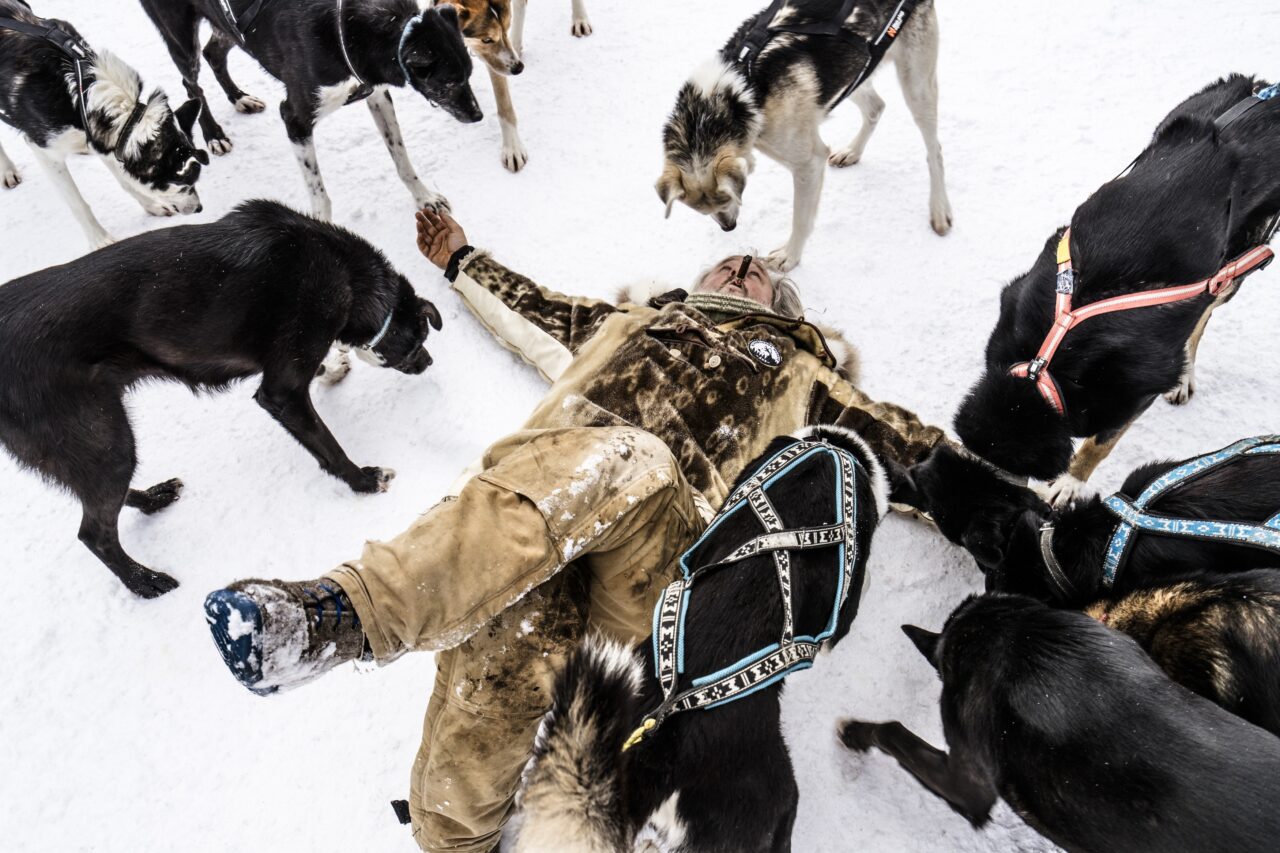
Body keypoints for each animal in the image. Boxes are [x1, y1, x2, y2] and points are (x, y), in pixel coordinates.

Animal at [0, 0, 207, 248]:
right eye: (183, 182)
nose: (199, 208)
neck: (80, 93)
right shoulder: (44, 151)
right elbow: (78, 204)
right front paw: (100, 240)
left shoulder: (104, 138)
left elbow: (126, 180)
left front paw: (151, 205)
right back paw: (7, 170)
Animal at [0, 199, 442, 598]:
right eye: (420, 336)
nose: (429, 362)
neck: (343, 269)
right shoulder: (282, 391)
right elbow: (328, 447)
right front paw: (363, 480)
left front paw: (333, 370)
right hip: (104, 441)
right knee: (94, 533)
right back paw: (146, 582)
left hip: (98, 445)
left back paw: (154, 499)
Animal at [138, 0, 482, 219]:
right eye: (449, 82)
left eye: (470, 73)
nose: (477, 115)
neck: (349, 31)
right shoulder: (294, 118)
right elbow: (319, 192)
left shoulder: (377, 95)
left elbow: (402, 159)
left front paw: (424, 198)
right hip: (181, 39)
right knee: (191, 83)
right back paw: (213, 134)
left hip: (225, 28)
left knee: (214, 53)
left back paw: (239, 98)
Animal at [656, 0, 952, 272]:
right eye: (699, 211)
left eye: (727, 199)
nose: (729, 227)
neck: (738, 96)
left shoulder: (808, 163)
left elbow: (800, 219)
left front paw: (790, 256)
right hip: (852, 71)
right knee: (876, 107)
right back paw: (852, 152)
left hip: (916, 86)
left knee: (934, 150)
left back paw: (940, 210)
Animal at [954, 75, 1280, 505]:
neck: (1045, 363)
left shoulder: (1131, 397)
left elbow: (1100, 444)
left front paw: (1069, 482)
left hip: (1241, 258)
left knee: (1204, 313)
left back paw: (1185, 374)